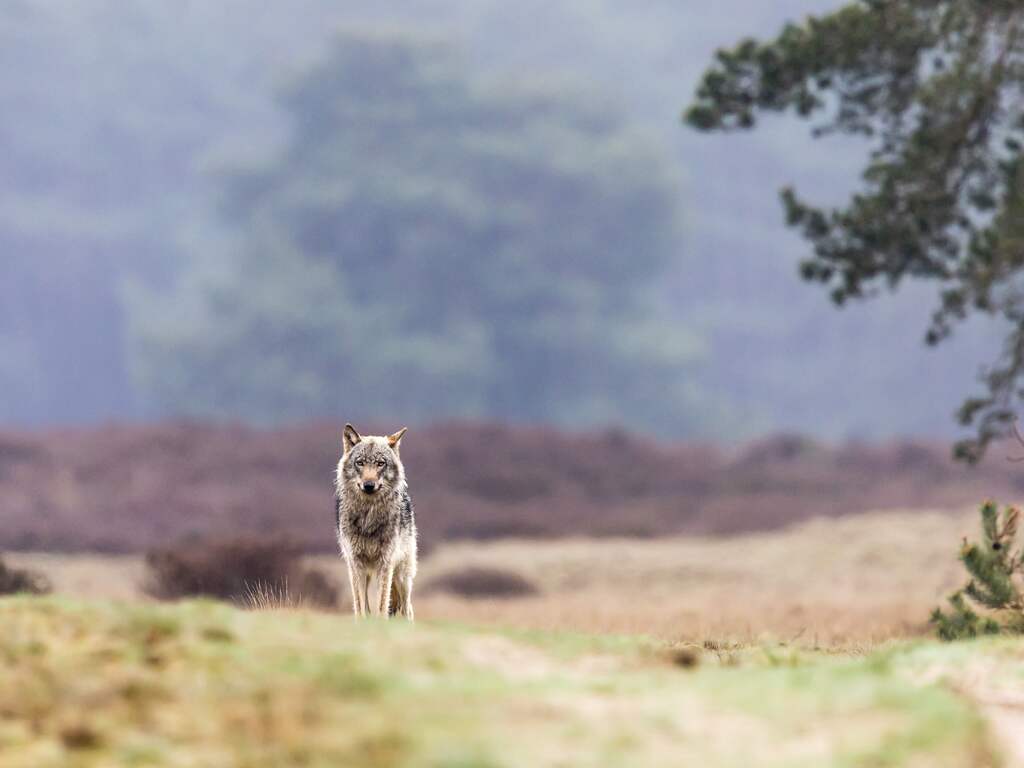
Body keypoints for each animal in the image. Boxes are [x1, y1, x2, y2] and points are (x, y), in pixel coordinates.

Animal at [334, 423, 417, 619]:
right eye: (360, 462)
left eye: (380, 463)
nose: (369, 485)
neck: (368, 517)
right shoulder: (356, 564)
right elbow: (361, 607)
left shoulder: (385, 564)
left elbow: (381, 604)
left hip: (402, 577)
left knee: (407, 609)